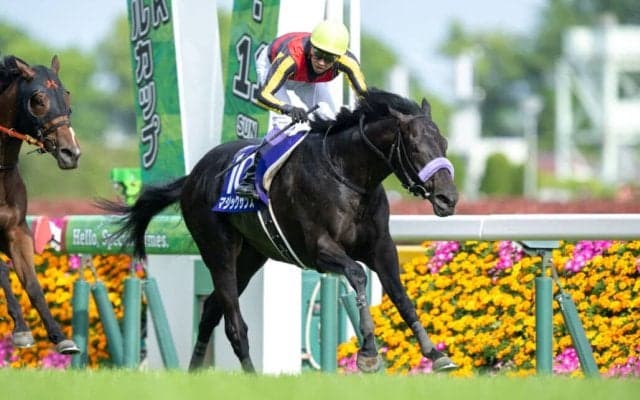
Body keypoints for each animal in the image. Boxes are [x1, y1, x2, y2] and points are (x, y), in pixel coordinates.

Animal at [0, 55, 81, 354]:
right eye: (38, 98)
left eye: (66, 93)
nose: (71, 153)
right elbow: (3, 272)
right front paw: (22, 331)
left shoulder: (17, 229)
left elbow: (32, 284)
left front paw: (61, 337)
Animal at [100, 88, 459, 372]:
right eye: (415, 146)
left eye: (444, 142)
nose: (448, 198)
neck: (349, 176)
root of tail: (193, 177)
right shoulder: (319, 249)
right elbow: (357, 275)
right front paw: (369, 353)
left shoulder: (380, 247)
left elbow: (400, 295)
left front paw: (435, 353)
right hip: (218, 249)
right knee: (234, 324)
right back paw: (250, 376)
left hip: (249, 257)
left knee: (211, 311)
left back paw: (194, 372)